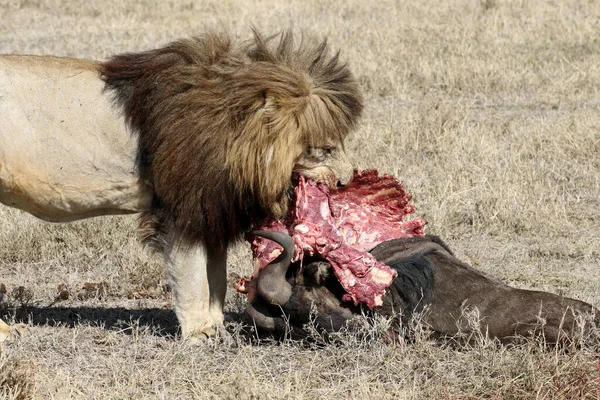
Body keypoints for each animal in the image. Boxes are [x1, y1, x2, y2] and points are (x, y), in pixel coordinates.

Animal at [0, 29, 364, 340]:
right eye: (323, 148)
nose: (346, 180)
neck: (232, 133)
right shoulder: (182, 209)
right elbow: (193, 276)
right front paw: (200, 333)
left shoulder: (212, 210)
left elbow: (217, 277)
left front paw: (217, 325)